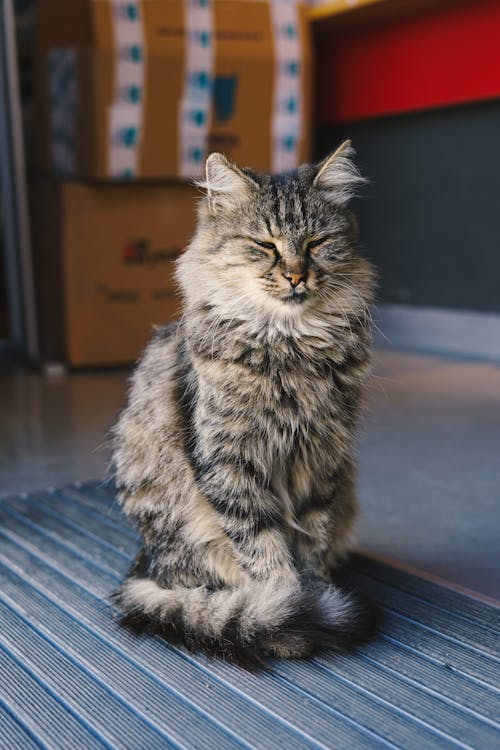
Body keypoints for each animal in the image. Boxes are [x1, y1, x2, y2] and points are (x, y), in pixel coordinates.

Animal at [111, 141, 378, 664]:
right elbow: (266, 553)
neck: (290, 345)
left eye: (316, 243)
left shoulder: (323, 458)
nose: (296, 276)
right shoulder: (230, 461)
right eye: (266, 245)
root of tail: (142, 561)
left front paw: (316, 600)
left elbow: (312, 542)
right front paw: (290, 615)